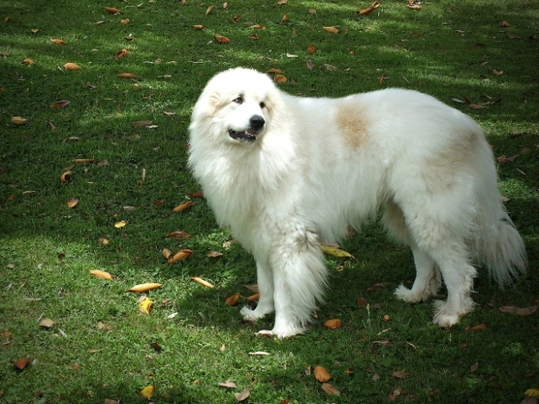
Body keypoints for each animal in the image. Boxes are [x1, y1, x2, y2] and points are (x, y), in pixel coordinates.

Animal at [189, 67, 528, 338]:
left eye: (262, 105)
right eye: (238, 100)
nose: (258, 122)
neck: (259, 152)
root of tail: (469, 125)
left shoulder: (290, 239)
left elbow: (285, 291)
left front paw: (282, 331)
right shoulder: (262, 234)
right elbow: (266, 283)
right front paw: (260, 313)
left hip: (430, 216)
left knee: (459, 270)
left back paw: (453, 313)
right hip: (407, 215)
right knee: (426, 261)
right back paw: (415, 295)